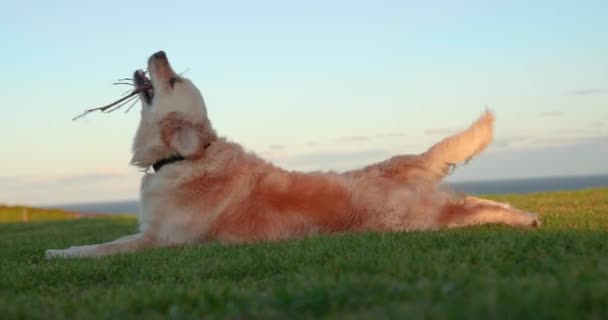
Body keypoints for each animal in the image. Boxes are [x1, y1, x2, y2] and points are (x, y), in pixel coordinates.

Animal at [46, 52, 536, 258]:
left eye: (171, 81)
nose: (160, 52)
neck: (184, 159)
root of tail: (401, 162)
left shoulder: (161, 241)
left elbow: (104, 248)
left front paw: (61, 253)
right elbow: (109, 241)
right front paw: (66, 247)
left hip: (415, 221)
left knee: (471, 212)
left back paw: (522, 220)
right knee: (480, 203)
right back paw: (527, 217)